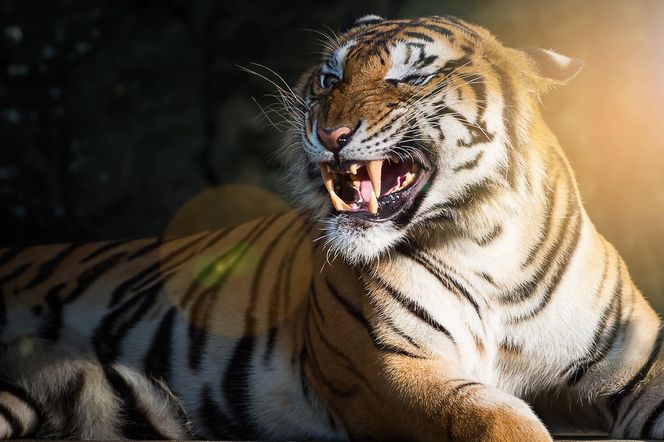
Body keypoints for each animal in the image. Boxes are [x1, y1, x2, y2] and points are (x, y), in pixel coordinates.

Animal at [1, 12, 664, 440]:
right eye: (329, 78)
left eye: (410, 77)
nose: (330, 134)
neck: (486, 242)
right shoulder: (394, 370)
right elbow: (499, 420)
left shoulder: (639, 362)